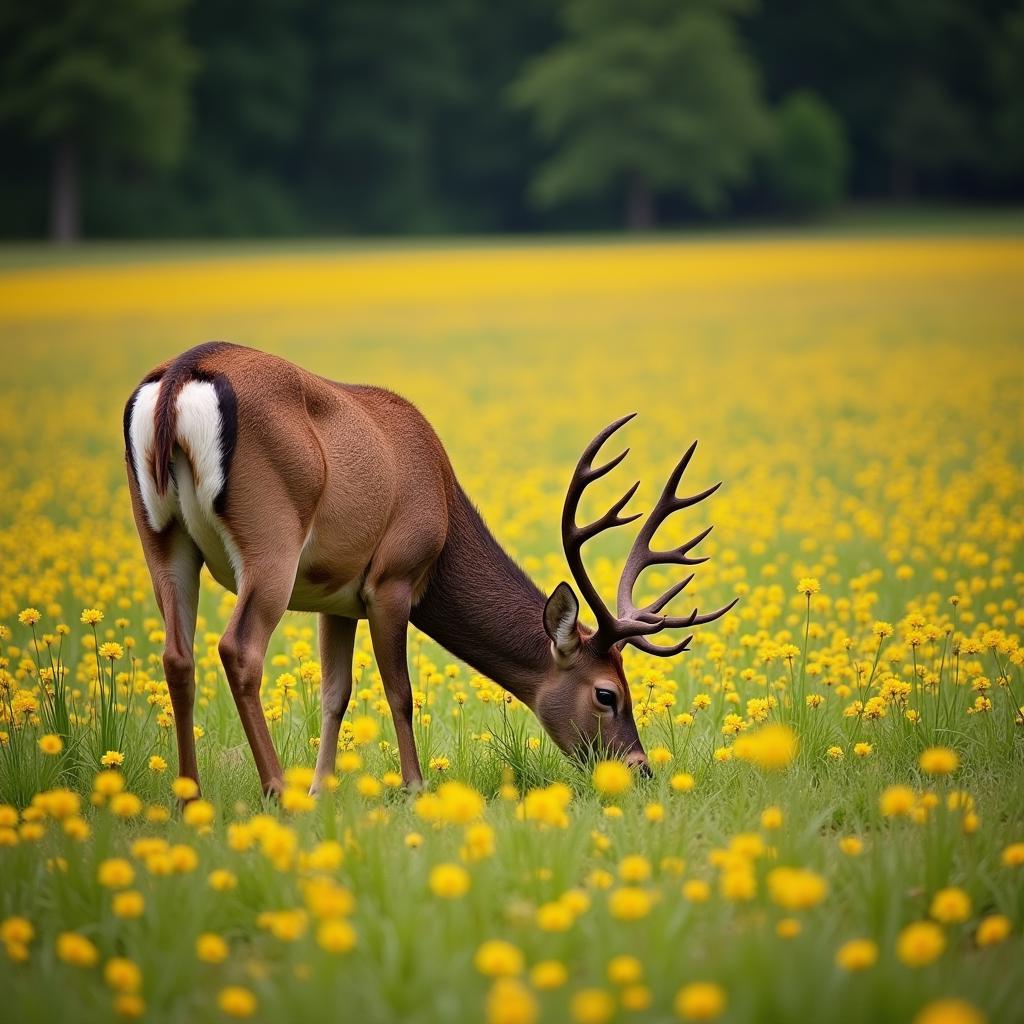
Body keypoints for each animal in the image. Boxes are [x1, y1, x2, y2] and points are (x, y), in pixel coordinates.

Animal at [125, 344, 737, 798]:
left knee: (177, 655)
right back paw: (277, 790)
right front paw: (415, 787)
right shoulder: (392, 576)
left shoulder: (333, 595)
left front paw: (324, 788)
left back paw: (190, 796)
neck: (443, 507)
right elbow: (400, 691)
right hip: (271, 536)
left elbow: (335, 693)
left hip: (161, 535)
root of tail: (177, 379)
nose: (639, 769)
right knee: (238, 648)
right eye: (607, 694)